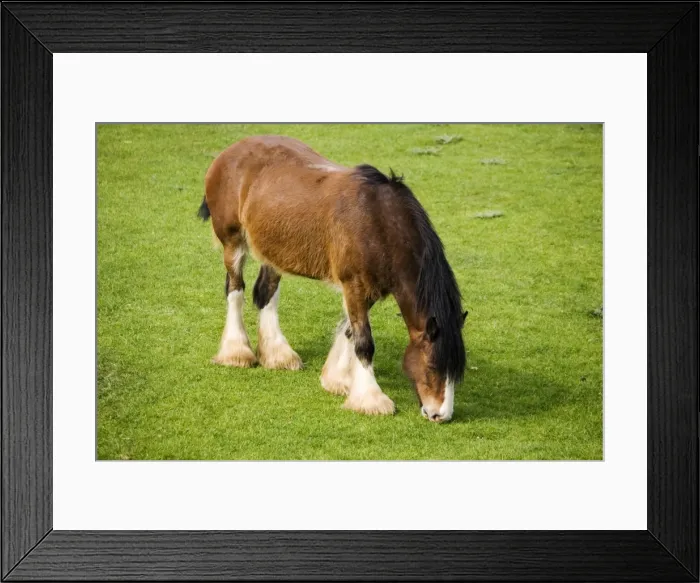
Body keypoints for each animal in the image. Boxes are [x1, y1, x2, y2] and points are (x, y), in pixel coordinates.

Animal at [198, 135, 466, 422]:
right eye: (433, 365)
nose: (441, 414)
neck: (378, 222)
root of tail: (229, 152)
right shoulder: (355, 286)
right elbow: (364, 343)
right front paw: (370, 399)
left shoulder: (368, 290)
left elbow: (350, 330)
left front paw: (338, 380)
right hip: (233, 242)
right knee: (235, 290)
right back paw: (236, 352)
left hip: (273, 252)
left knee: (265, 294)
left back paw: (278, 355)